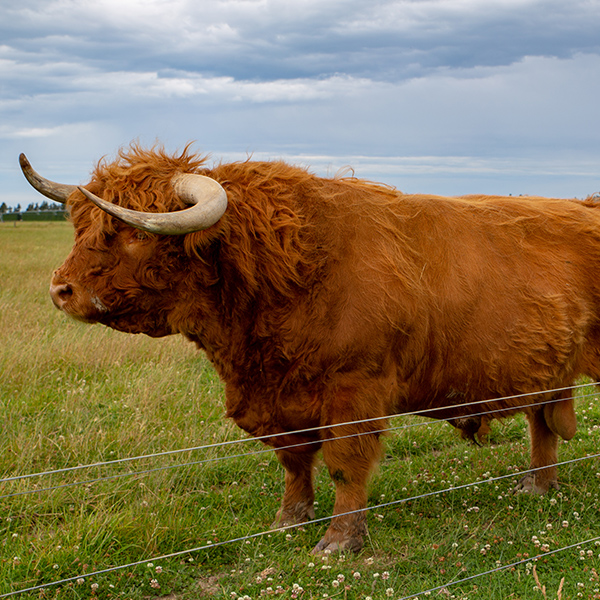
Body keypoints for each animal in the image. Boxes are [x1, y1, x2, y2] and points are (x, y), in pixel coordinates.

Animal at [19, 145, 596, 552]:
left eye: (136, 233)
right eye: (82, 226)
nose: (60, 289)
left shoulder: (354, 390)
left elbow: (344, 462)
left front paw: (340, 540)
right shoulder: (276, 398)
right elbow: (294, 460)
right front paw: (288, 519)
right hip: (544, 365)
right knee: (542, 423)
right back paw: (537, 487)